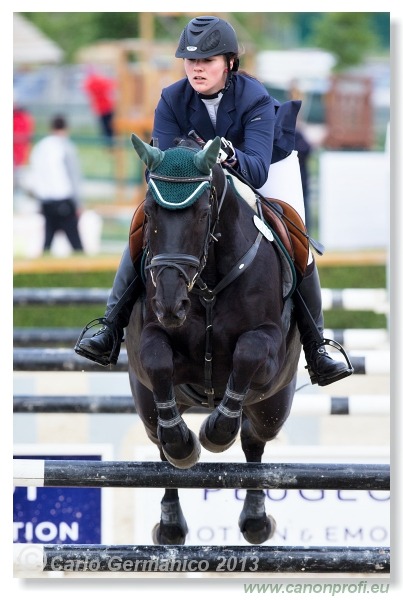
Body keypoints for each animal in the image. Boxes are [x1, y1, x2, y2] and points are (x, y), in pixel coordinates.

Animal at [126, 134, 304, 548]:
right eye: (151, 213)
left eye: (203, 212)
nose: (170, 302)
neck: (206, 285)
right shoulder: (151, 340)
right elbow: (157, 360)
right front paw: (183, 442)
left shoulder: (269, 350)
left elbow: (247, 354)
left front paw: (216, 431)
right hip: (145, 402)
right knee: (159, 443)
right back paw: (171, 522)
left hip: (273, 404)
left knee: (255, 440)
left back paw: (255, 520)